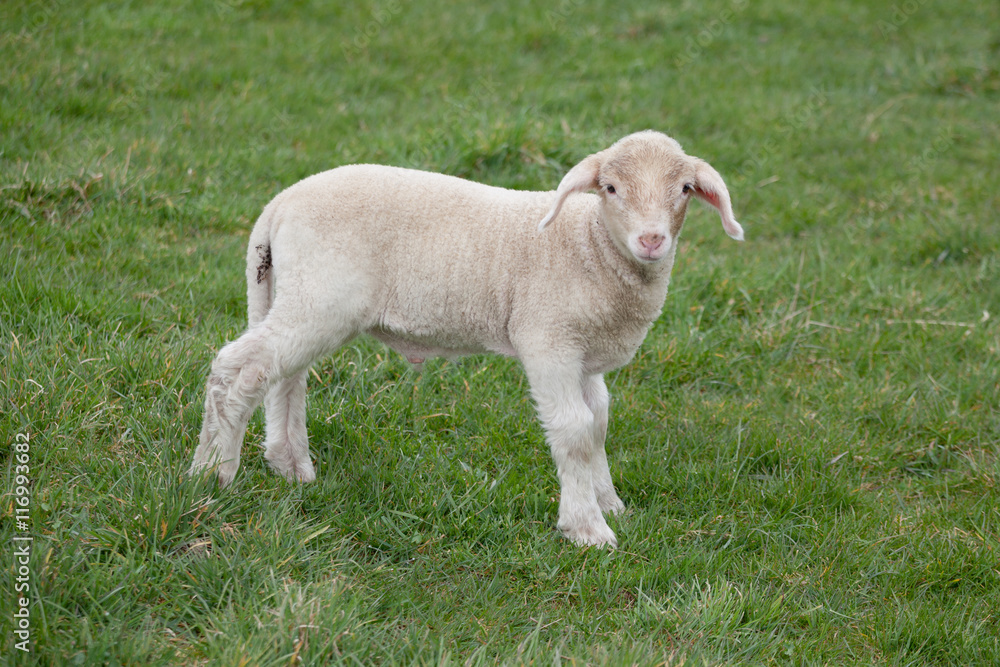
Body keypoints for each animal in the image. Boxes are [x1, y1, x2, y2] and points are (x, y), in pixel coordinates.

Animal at [190, 130, 744, 548]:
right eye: (609, 187)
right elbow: (572, 429)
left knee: (283, 377)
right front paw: (587, 527)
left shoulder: (585, 355)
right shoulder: (548, 339)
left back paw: (291, 466)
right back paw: (212, 473)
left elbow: (598, 424)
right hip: (320, 297)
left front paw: (608, 502)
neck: (589, 246)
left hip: (301, 295)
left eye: (685, 188)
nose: (651, 240)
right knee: (239, 369)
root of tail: (278, 205)